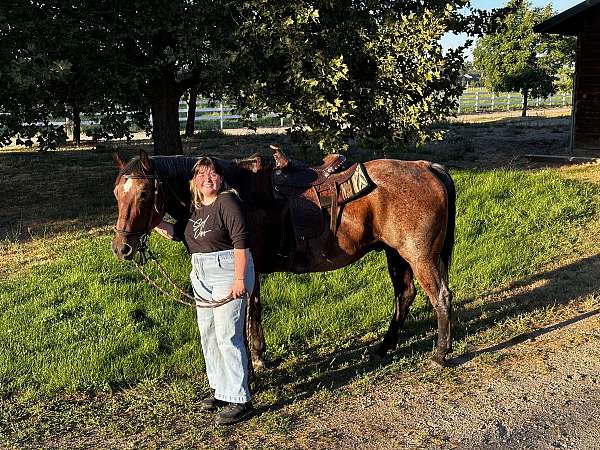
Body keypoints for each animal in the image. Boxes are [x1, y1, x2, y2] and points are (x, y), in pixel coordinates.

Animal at [111, 149, 454, 368]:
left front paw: (255, 361)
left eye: (144, 195)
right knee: (405, 295)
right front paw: (260, 356)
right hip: (395, 253)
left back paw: (440, 354)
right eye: (116, 194)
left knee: (440, 296)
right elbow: (255, 311)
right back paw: (385, 347)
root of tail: (426, 167)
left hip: (419, 255)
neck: (240, 194)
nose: (121, 248)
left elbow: (248, 314)